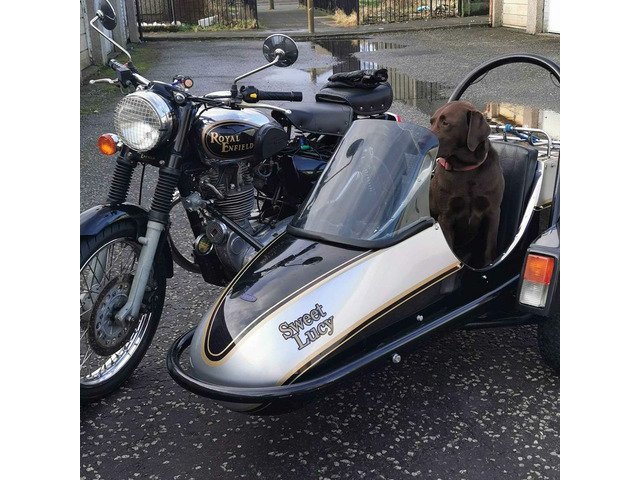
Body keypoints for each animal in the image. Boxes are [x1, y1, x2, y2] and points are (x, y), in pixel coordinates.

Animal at [428, 101, 505, 268]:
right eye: (432, 121)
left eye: (445, 122)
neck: (466, 170)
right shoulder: (446, 217)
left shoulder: (493, 212)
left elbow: (490, 247)